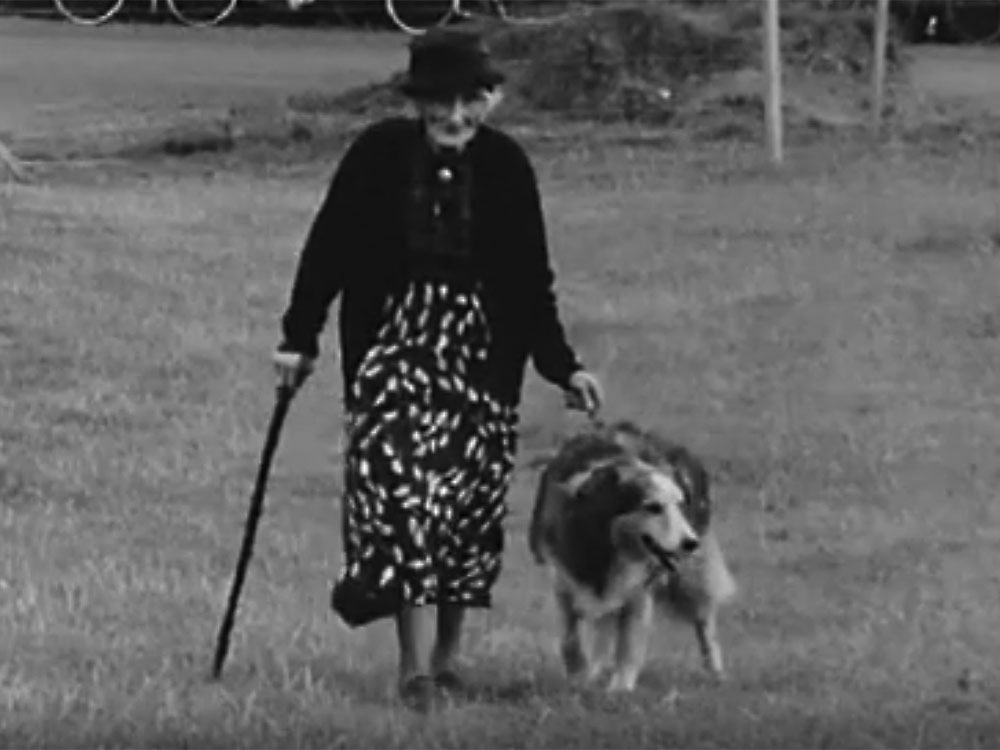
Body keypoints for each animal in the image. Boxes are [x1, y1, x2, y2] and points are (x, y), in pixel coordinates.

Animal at [528, 420, 740, 692]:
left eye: (680, 505)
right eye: (653, 507)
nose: (690, 543)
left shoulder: (640, 588)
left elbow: (629, 644)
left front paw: (619, 690)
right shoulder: (565, 579)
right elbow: (569, 636)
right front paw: (579, 674)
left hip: (689, 577)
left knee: (704, 621)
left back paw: (715, 672)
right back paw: (596, 670)